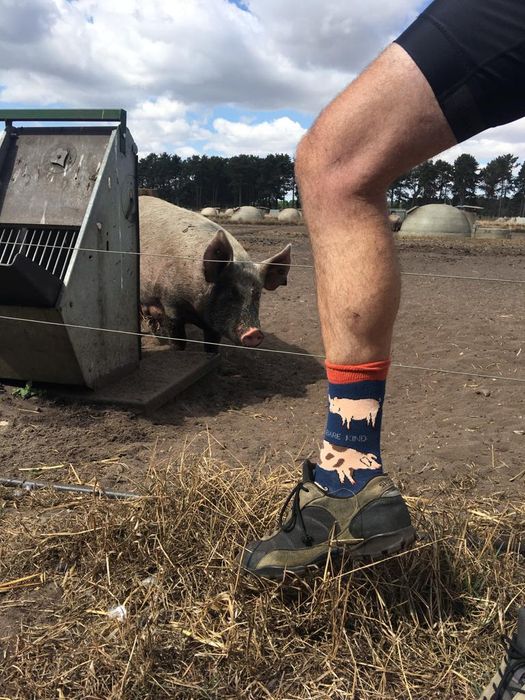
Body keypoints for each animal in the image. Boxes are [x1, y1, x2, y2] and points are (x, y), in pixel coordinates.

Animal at [139, 194, 290, 352]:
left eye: (257, 293)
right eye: (231, 292)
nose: (254, 332)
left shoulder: (213, 325)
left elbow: (212, 344)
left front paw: (212, 353)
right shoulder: (170, 304)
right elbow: (178, 338)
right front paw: (177, 349)